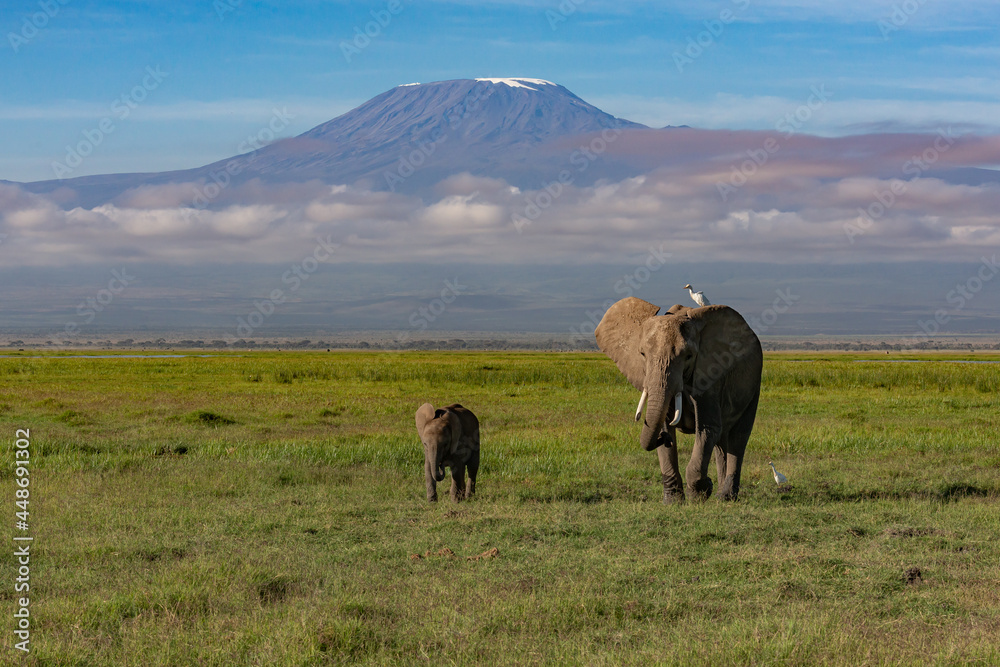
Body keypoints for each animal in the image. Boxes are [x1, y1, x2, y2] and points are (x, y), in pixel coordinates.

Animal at [595, 297, 762, 503]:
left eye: (688, 356)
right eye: (642, 354)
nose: (663, 439)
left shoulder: (710, 375)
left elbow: (707, 429)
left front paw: (700, 493)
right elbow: (666, 426)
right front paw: (673, 501)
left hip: (754, 383)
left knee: (738, 437)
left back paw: (725, 497)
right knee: (722, 442)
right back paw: (720, 495)